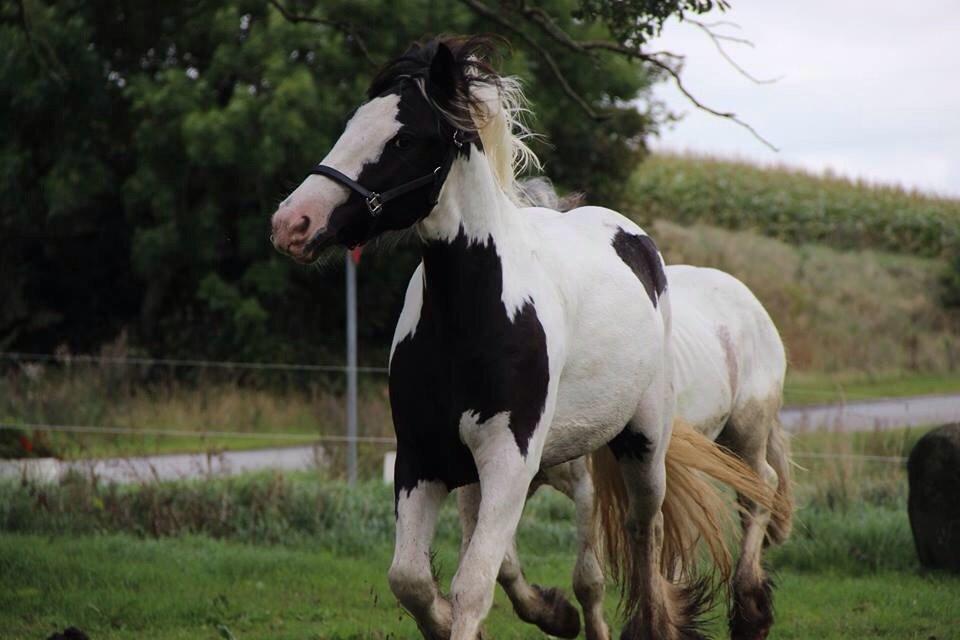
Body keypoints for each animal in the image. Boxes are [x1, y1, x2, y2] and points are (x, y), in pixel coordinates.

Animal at [268, 38, 772, 640]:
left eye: (404, 139)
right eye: (351, 126)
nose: (293, 222)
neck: (471, 318)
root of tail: (636, 243)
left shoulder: (509, 462)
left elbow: (473, 585)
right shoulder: (422, 459)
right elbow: (412, 579)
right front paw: (540, 612)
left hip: (644, 443)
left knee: (645, 530)